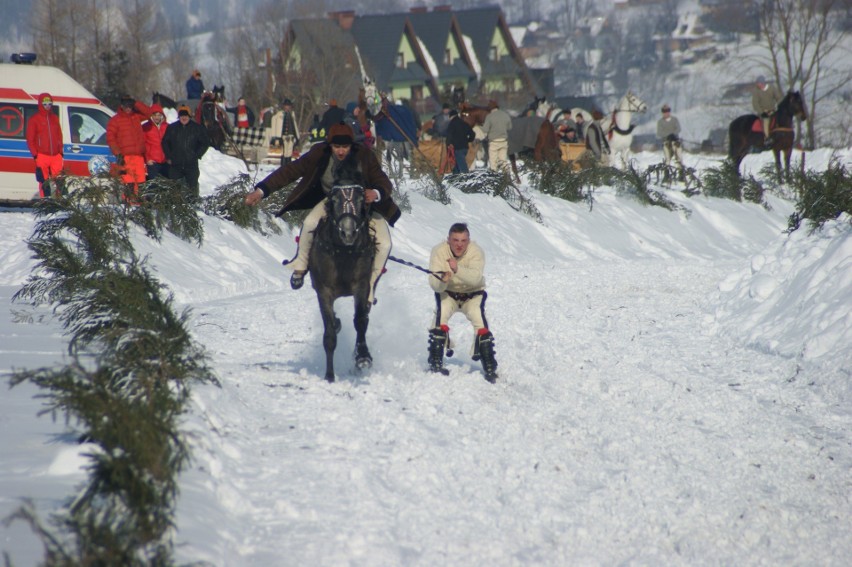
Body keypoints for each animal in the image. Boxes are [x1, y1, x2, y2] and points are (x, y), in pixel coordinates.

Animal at [306, 178, 372, 382]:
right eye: (334, 199)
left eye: (361, 199)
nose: (348, 232)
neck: (344, 251)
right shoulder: (324, 291)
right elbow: (329, 334)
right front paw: (329, 375)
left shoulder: (362, 285)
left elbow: (360, 321)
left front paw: (363, 357)